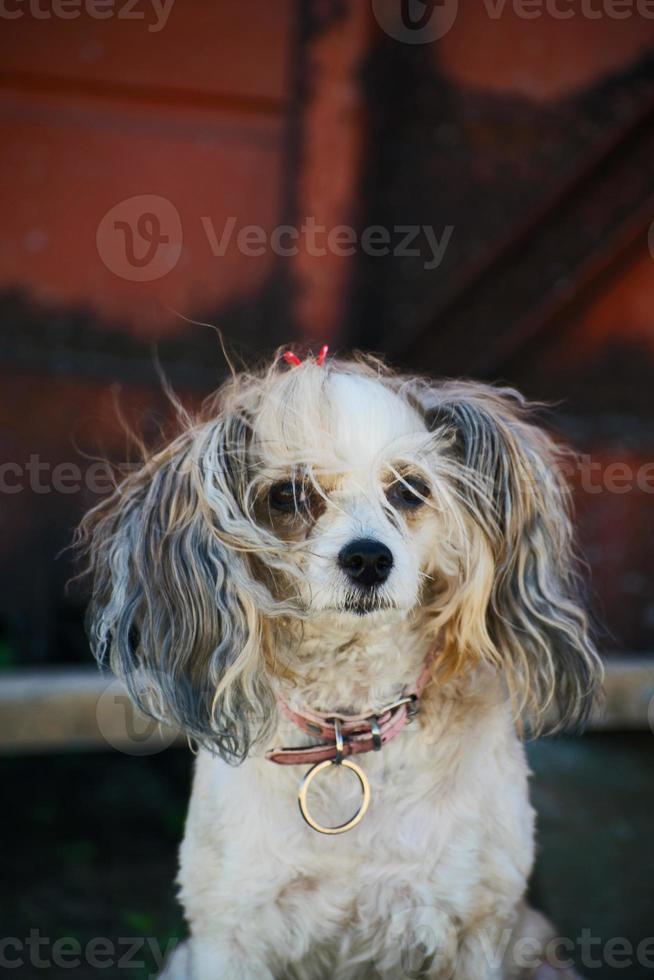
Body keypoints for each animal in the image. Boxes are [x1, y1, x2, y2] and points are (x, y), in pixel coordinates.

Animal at [79, 348, 604, 976]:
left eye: (409, 489)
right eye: (287, 495)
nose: (369, 558)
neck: (346, 730)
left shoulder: (476, 929)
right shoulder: (228, 935)